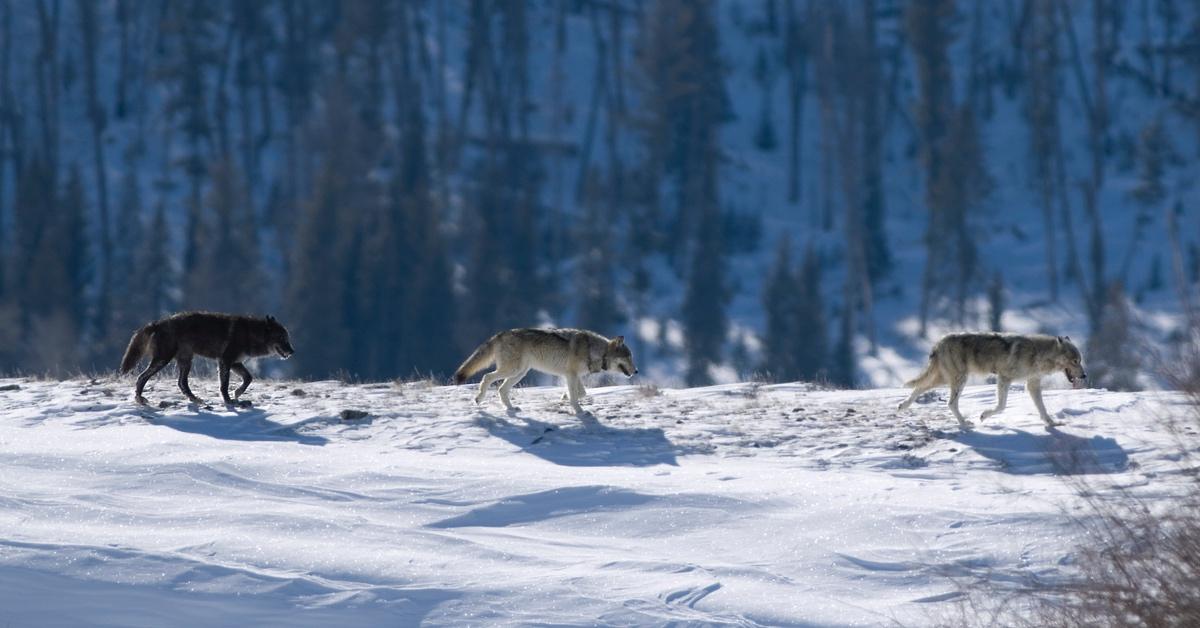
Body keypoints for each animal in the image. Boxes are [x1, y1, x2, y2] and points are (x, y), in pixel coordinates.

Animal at [117, 309, 295, 408]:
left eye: (288, 338)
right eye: (282, 338)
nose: (292, 351)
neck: (250, 334)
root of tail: (157, 323)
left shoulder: (235, 363)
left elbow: (249, 378)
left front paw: (237, 394)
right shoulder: (225, 361)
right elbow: (224, 385)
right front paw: (229, 401)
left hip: (186, 361)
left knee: (182, 383)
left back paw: (196, 400)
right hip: (163, 360)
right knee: (142, 377)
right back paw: (140, 399)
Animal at [451, 326, 638, 415]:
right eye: (629, 357)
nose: (636, 371)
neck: (596, 351)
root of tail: (500, 334)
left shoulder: (573, 376)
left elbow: (581, 393)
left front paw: (564, 397)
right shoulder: (571, 375)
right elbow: (577, 396)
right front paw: (580, 412)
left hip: (519, 373)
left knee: (501, 389)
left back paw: (511, 409)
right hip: (512, 370)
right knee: (487, 377)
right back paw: (479, 398)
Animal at [902, 333, 1089, 432]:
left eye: (1080, 360)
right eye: (1075, 361)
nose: (1085, 375)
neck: (1038, 354)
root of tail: (938, 342)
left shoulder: (1032, 385)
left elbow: (1043, 410)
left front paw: (1052, 424)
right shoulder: (1004, 378)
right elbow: (1001, 406)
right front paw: (984, 416)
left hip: (944, 379)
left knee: (919, 387)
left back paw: (902, 406)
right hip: (958, 380)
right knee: (950, 403)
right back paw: (965, 424)